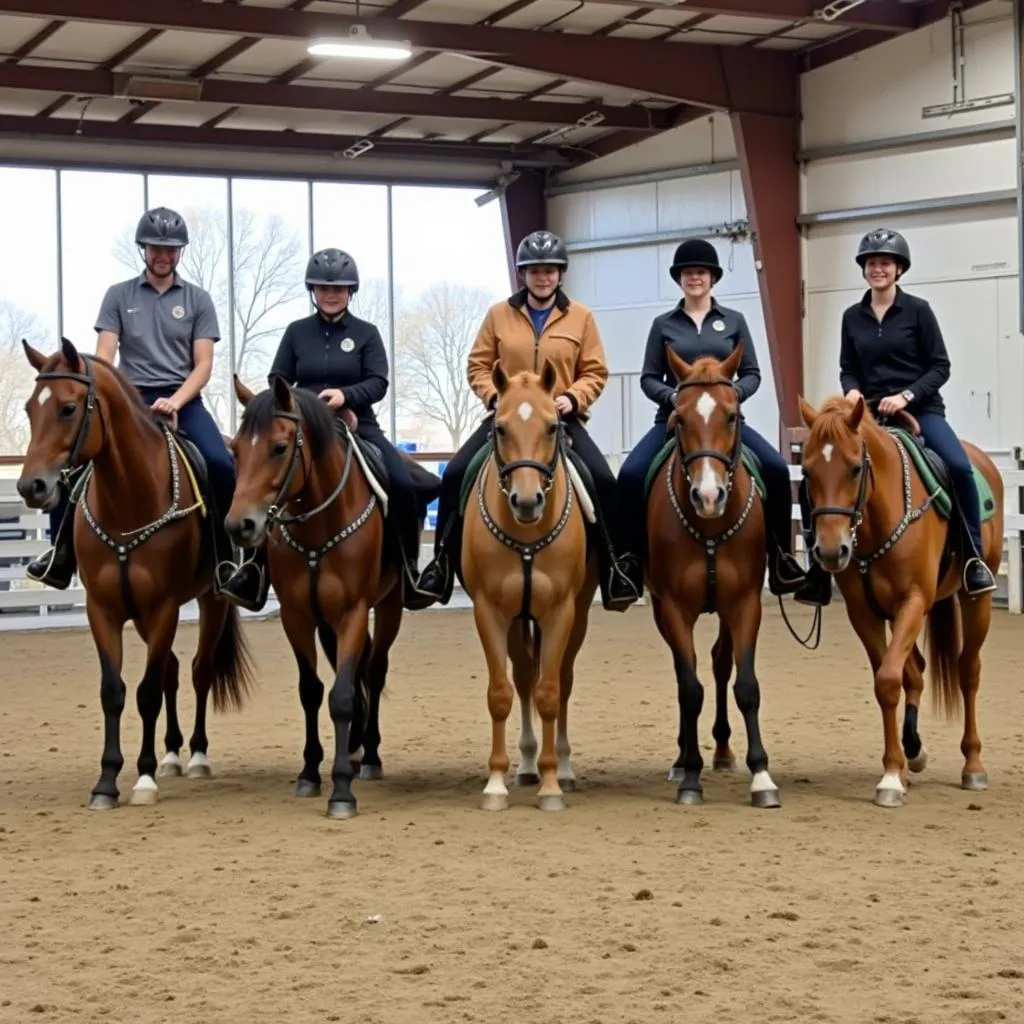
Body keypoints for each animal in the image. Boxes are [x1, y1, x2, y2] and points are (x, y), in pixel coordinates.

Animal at [17, 339, 254, 811]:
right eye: (31, 409)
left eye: (68, 408)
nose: (31, 487)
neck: (129, 499)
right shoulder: (104, 609)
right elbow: (115, 690)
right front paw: (107, 781)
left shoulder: (163, 608)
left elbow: (146, 693)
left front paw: (143, 779)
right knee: (173, 672)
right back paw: (172, 755)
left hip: (210, 601)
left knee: (198, 670)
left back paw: (196, 755)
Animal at [228, 372, 403, 819]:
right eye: (235, 450)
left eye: (278, 447)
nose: (239, 526)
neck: (318, 530)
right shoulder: (298, 616)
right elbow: (312, 690)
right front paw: (310, 772)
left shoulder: (355, 612)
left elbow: (341, 695)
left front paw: (341, 791)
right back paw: (355, 747)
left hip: (388, 607)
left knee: (373, 671)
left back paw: (369, 755)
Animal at [460, 356, 598, 811]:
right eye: (500, 428)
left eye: (553, 425)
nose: (526, 501)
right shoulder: (489, 612)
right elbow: (501, 693)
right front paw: (495, 783)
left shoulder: (560, 613)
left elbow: (551, 692)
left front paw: (552, 784)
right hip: (519, 619)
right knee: (522, 677)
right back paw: (524, 764)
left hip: (577, 617)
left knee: (562, 680)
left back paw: (565, 769)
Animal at [647, 348, 782, 811]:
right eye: (679, 417)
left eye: (732, 415)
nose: (709, 496)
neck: (708, 527)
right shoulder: (672, 608)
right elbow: (690, 689)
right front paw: (690, 776)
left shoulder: (744, 604)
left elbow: (747, 686)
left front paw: (762, 777)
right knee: (684, 672)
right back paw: (682, 759)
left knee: (721, 663)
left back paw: (722, 751)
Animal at [794, 395, 1003, 802]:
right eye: (807, 472)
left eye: (855, 468)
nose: (831, 551)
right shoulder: (865, 612)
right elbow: (887, 681)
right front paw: (897, 768)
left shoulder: (914, 601)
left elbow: (890, 678)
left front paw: (892, 777)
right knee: (917, 671)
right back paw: (914, 752)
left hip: (976, 603)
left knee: (968, 671)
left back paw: (973, 766)